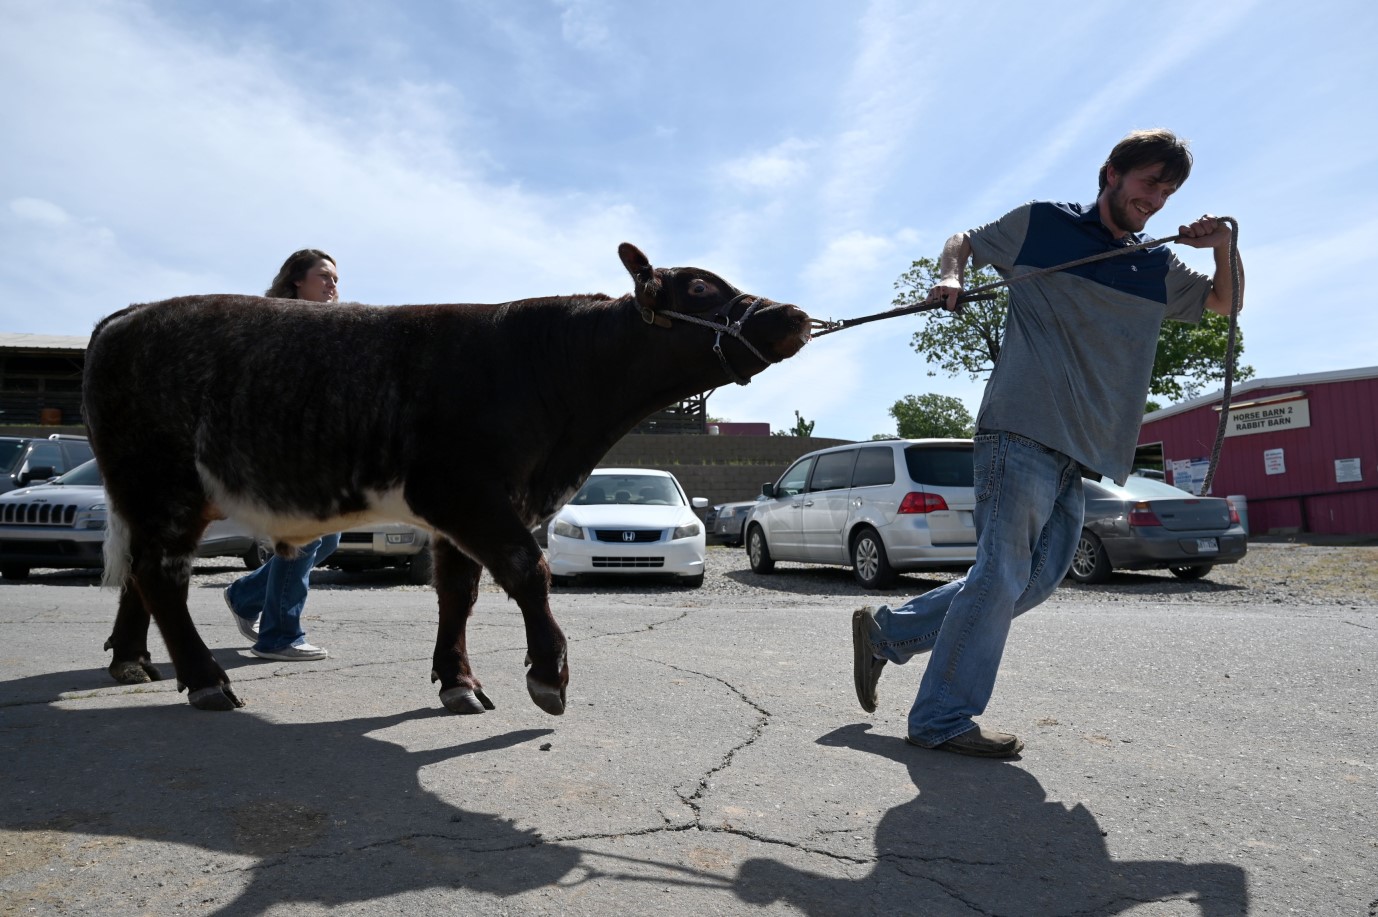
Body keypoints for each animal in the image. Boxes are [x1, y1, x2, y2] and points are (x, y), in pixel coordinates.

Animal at [82, 243, 812, 715]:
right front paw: (549, 675)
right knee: (162, 573)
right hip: (162, 483)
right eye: (700, 288)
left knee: (143, 573)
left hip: (158, 495)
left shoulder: (465, 510)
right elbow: (525, 569)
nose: (792, 314)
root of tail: (131, 314)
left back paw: (133, 659)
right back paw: (205, 680)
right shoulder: (465, 493)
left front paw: (458, 680)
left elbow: (457, 592)